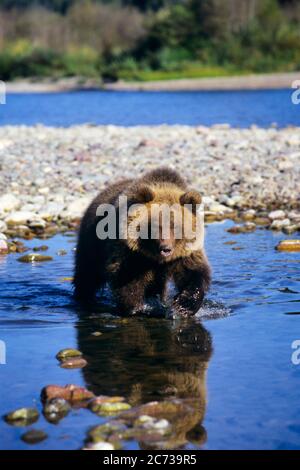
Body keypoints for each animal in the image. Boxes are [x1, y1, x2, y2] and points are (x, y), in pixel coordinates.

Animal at [73, 167, 211, 318]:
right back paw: (83, 297)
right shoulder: (131, 252)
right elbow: (126, 275)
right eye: (156, 225)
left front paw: (182, 306)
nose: (166, 248)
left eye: (175, 226)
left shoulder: (185, 253)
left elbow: (193, 272)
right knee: (87, 273)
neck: (156, 258)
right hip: (92, 242)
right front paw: (137, 307)